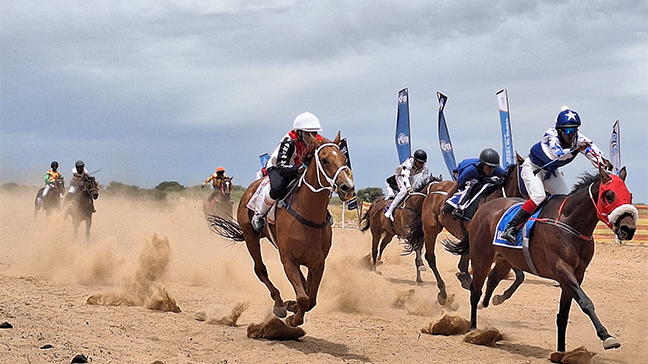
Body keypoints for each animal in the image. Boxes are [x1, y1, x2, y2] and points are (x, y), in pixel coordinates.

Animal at [208, 132, 354, 328]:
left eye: (344, 158)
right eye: (324, 160)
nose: (348, 187)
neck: (309, 216)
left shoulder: (318, 263)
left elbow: (311, 299)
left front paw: (292, 305)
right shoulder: (288, 260)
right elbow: (304, 298)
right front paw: (293, 317)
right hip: (251, 237)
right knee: (260, 269)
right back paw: (278, 303)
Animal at [404, 155, 528, 306]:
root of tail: (433, 186)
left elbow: (520, 275)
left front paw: (500, 296)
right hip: (431, 229)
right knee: (431, 257)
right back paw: (443, 292)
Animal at [446, 166, 636, 352]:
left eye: (630, 195)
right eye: (609, 195)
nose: (628, 229)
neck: (570, 223)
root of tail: (483, 209)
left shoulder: (577, 274)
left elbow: (563, 315)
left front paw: (561, 351)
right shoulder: (561, 268)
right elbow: (585, 302)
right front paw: (607, 337)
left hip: (505, 260)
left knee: (493, 278)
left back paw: (488, 302)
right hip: (481, 257)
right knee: (475, 290)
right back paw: (473, 328)